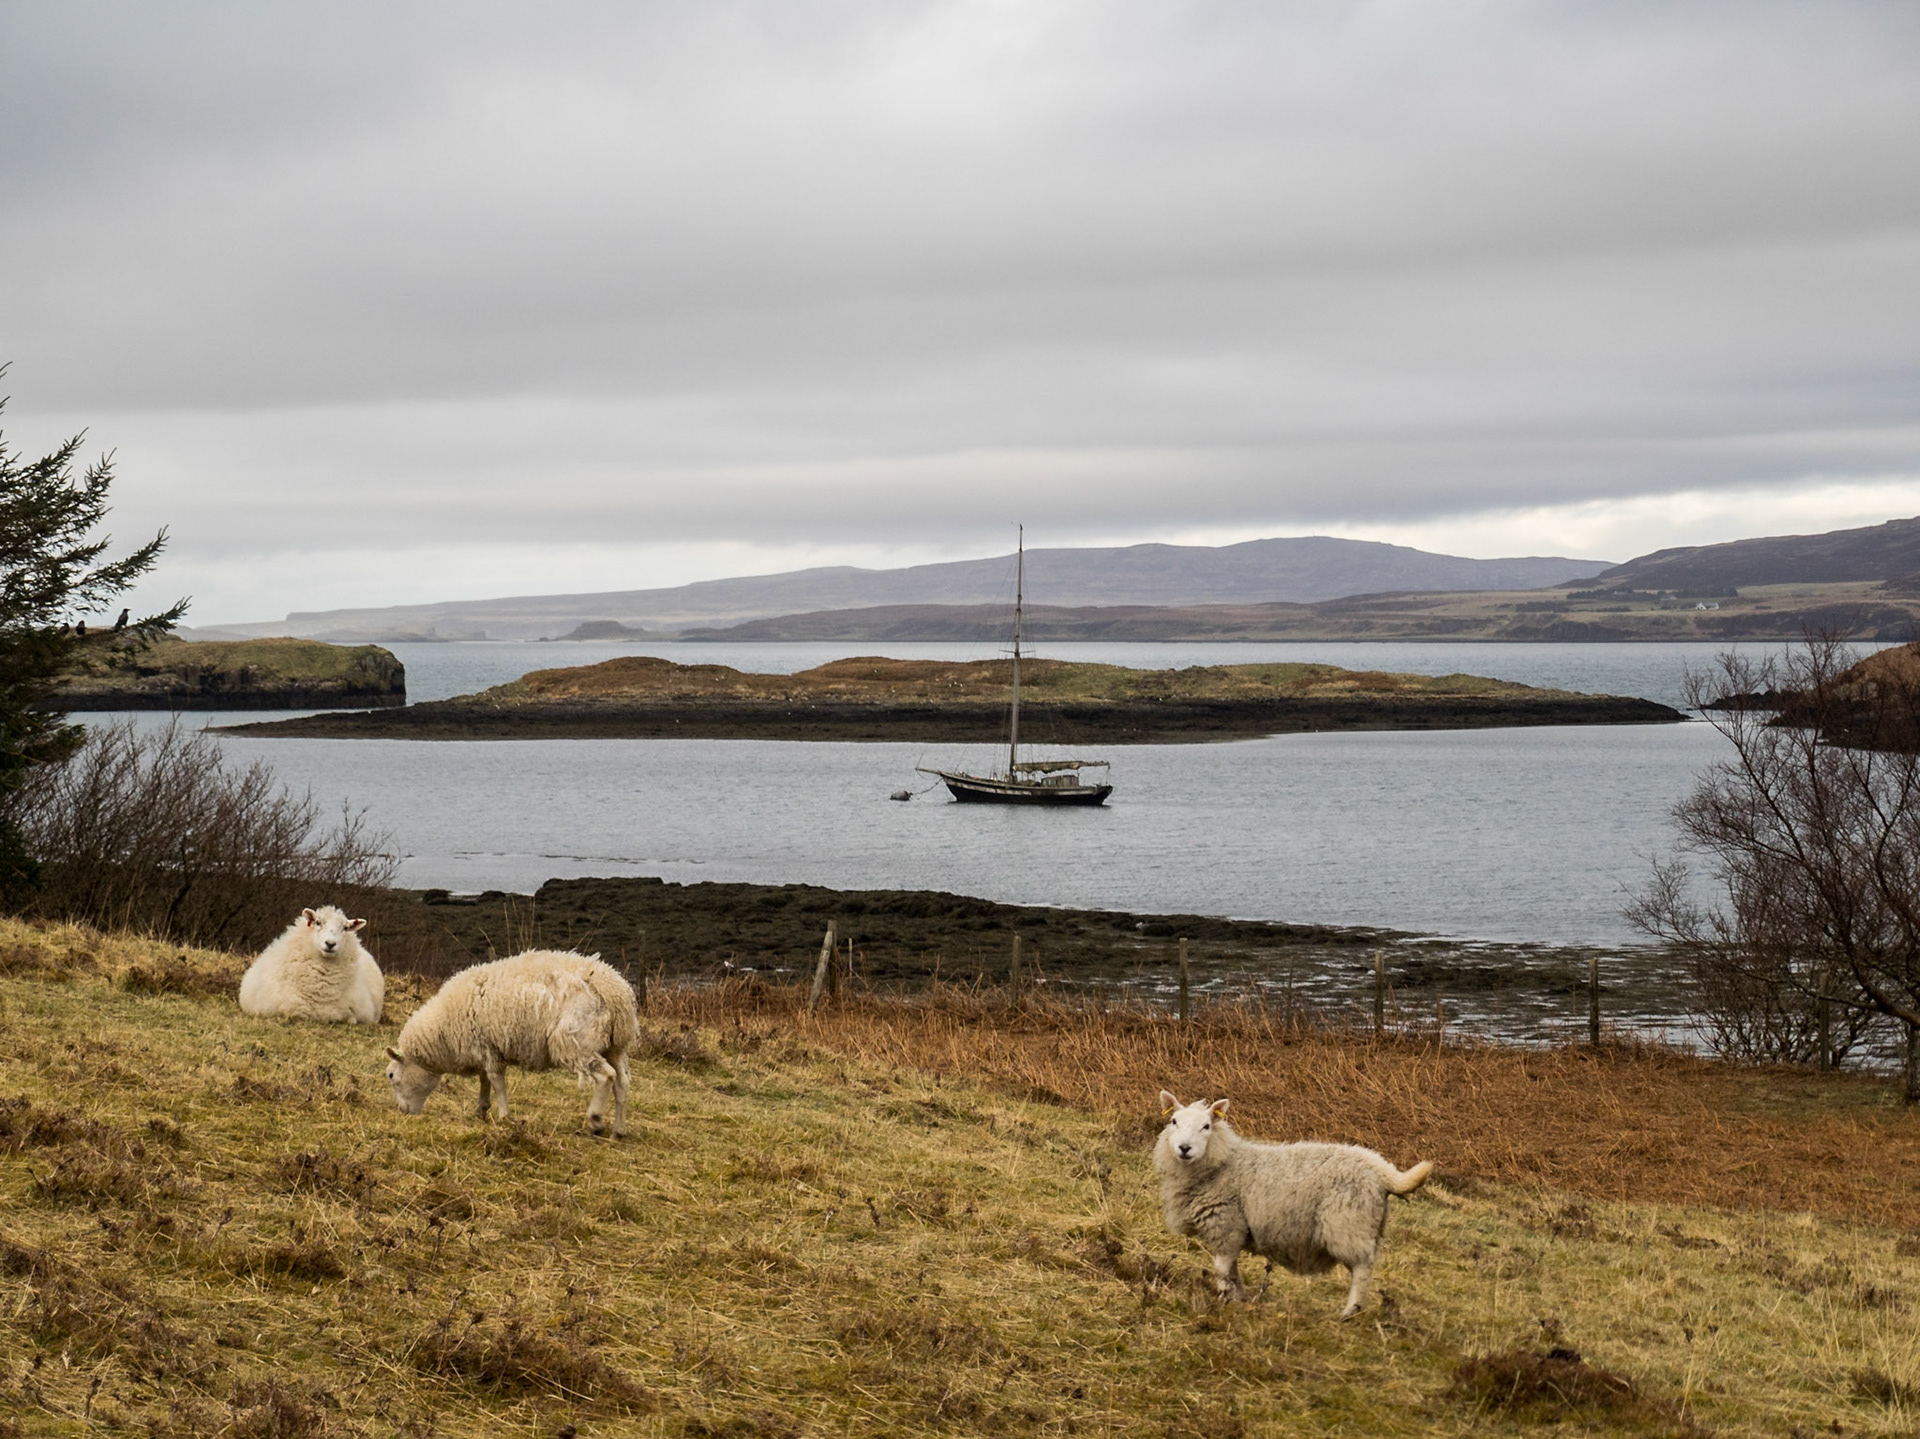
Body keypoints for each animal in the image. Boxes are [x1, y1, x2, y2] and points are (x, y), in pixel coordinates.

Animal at [384, 949, 637, 1136]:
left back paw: (595, 1120)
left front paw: (504, 1116)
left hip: (576, 1042)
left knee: (606, 1076)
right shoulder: (486, 1047)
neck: (443, 1030)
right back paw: (619, 1130)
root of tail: (613, 991)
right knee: (622, 1082)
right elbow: (485, 1079)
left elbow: (497, 1081)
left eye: (391, 1076)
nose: (402, 1112)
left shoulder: (488, 1046)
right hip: (614, 1046)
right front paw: (481, 1110)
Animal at [1153, 1091, 1432, 1319]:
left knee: (1362, 1269)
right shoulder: (1233, 1231)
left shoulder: (1227, 1224)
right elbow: (1232, 1270)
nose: (1185, 1148)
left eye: (1207, 1126)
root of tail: (1381, 1169)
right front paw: (1239, 1298)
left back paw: (1349, 1312)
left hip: (1348, 1225)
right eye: (1174, 1121)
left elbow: (1222, 1270)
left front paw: (1225, 1299)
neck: (1224, 1164)